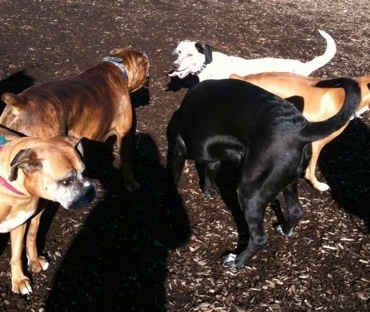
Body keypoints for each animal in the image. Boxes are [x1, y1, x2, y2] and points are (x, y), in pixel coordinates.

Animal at [0, 125, 97, 294]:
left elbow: (17, 255)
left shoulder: (19, 222)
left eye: (84, 172)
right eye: (65, 181)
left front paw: (19, 280)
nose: (91, 191)